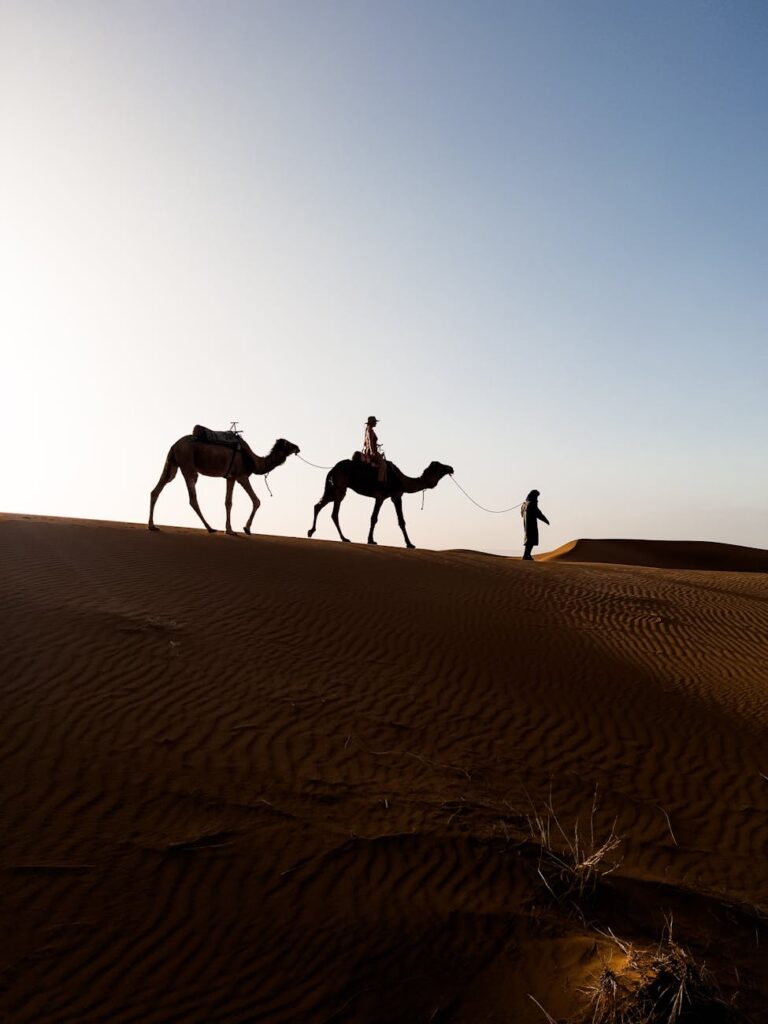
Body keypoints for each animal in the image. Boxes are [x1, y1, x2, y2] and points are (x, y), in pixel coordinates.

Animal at [148, 435, 300, 535]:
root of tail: (174, 446)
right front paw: (245, 528)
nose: (298, 447)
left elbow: (228, 502)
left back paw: (152, 526)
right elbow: (256, 501)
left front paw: (230, 529)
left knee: (157, 489)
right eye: (288, 444)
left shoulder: (230, 477)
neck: (254, 461)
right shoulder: (241, 476)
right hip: (188, 465)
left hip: (172, 464)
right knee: (193, 499)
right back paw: (210, 528)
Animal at [307, 454, 454, 548]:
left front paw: (371, 540)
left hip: (335, 487)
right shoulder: (395, 495)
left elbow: (374, 518)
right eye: (440, 466)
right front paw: (410, 544)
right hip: (340, 486)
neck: (402, 480)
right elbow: (401, 521)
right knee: (333, 512)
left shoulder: (381, 497)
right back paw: (343, 538)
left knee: (319, 506)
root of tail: (332, 469)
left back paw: (312, 532)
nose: (451, 468)